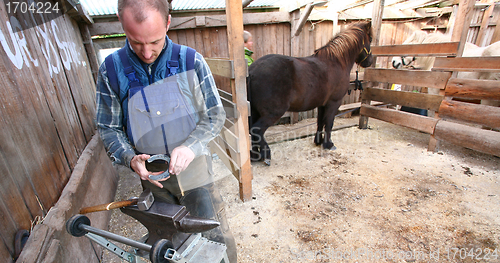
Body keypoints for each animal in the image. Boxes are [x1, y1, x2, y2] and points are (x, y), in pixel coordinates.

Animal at [248, 21, 374, 165]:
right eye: (370, 39)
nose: (370, 61)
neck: (336, 62)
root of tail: (251, 70)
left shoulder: (322, 104)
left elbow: (320, 122)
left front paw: (318, 141)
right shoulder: (334, 102)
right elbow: (329, 123)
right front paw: (328, 144)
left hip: (254, 111)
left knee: (251, 130)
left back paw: (255, 155)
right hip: (273, 113)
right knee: (256, 130)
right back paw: (266, 155)